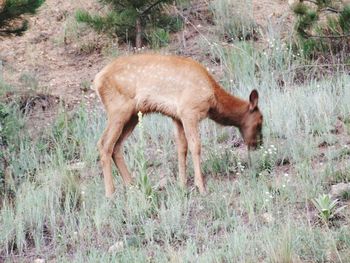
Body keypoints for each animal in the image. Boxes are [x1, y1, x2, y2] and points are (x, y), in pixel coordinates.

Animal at [94, 54, 264, 198]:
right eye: (259, 121)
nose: (258, 144)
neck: (213, 100)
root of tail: (97, 80)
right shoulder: (189, 111)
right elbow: (195, 146)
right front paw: (201, 187)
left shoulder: (177, 117)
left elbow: (182, 148)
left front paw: (182, 185)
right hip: (118, 109)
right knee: (104, 143)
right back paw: (110, 194)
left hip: (133, 115)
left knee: (116, 146)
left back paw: (133, 186)